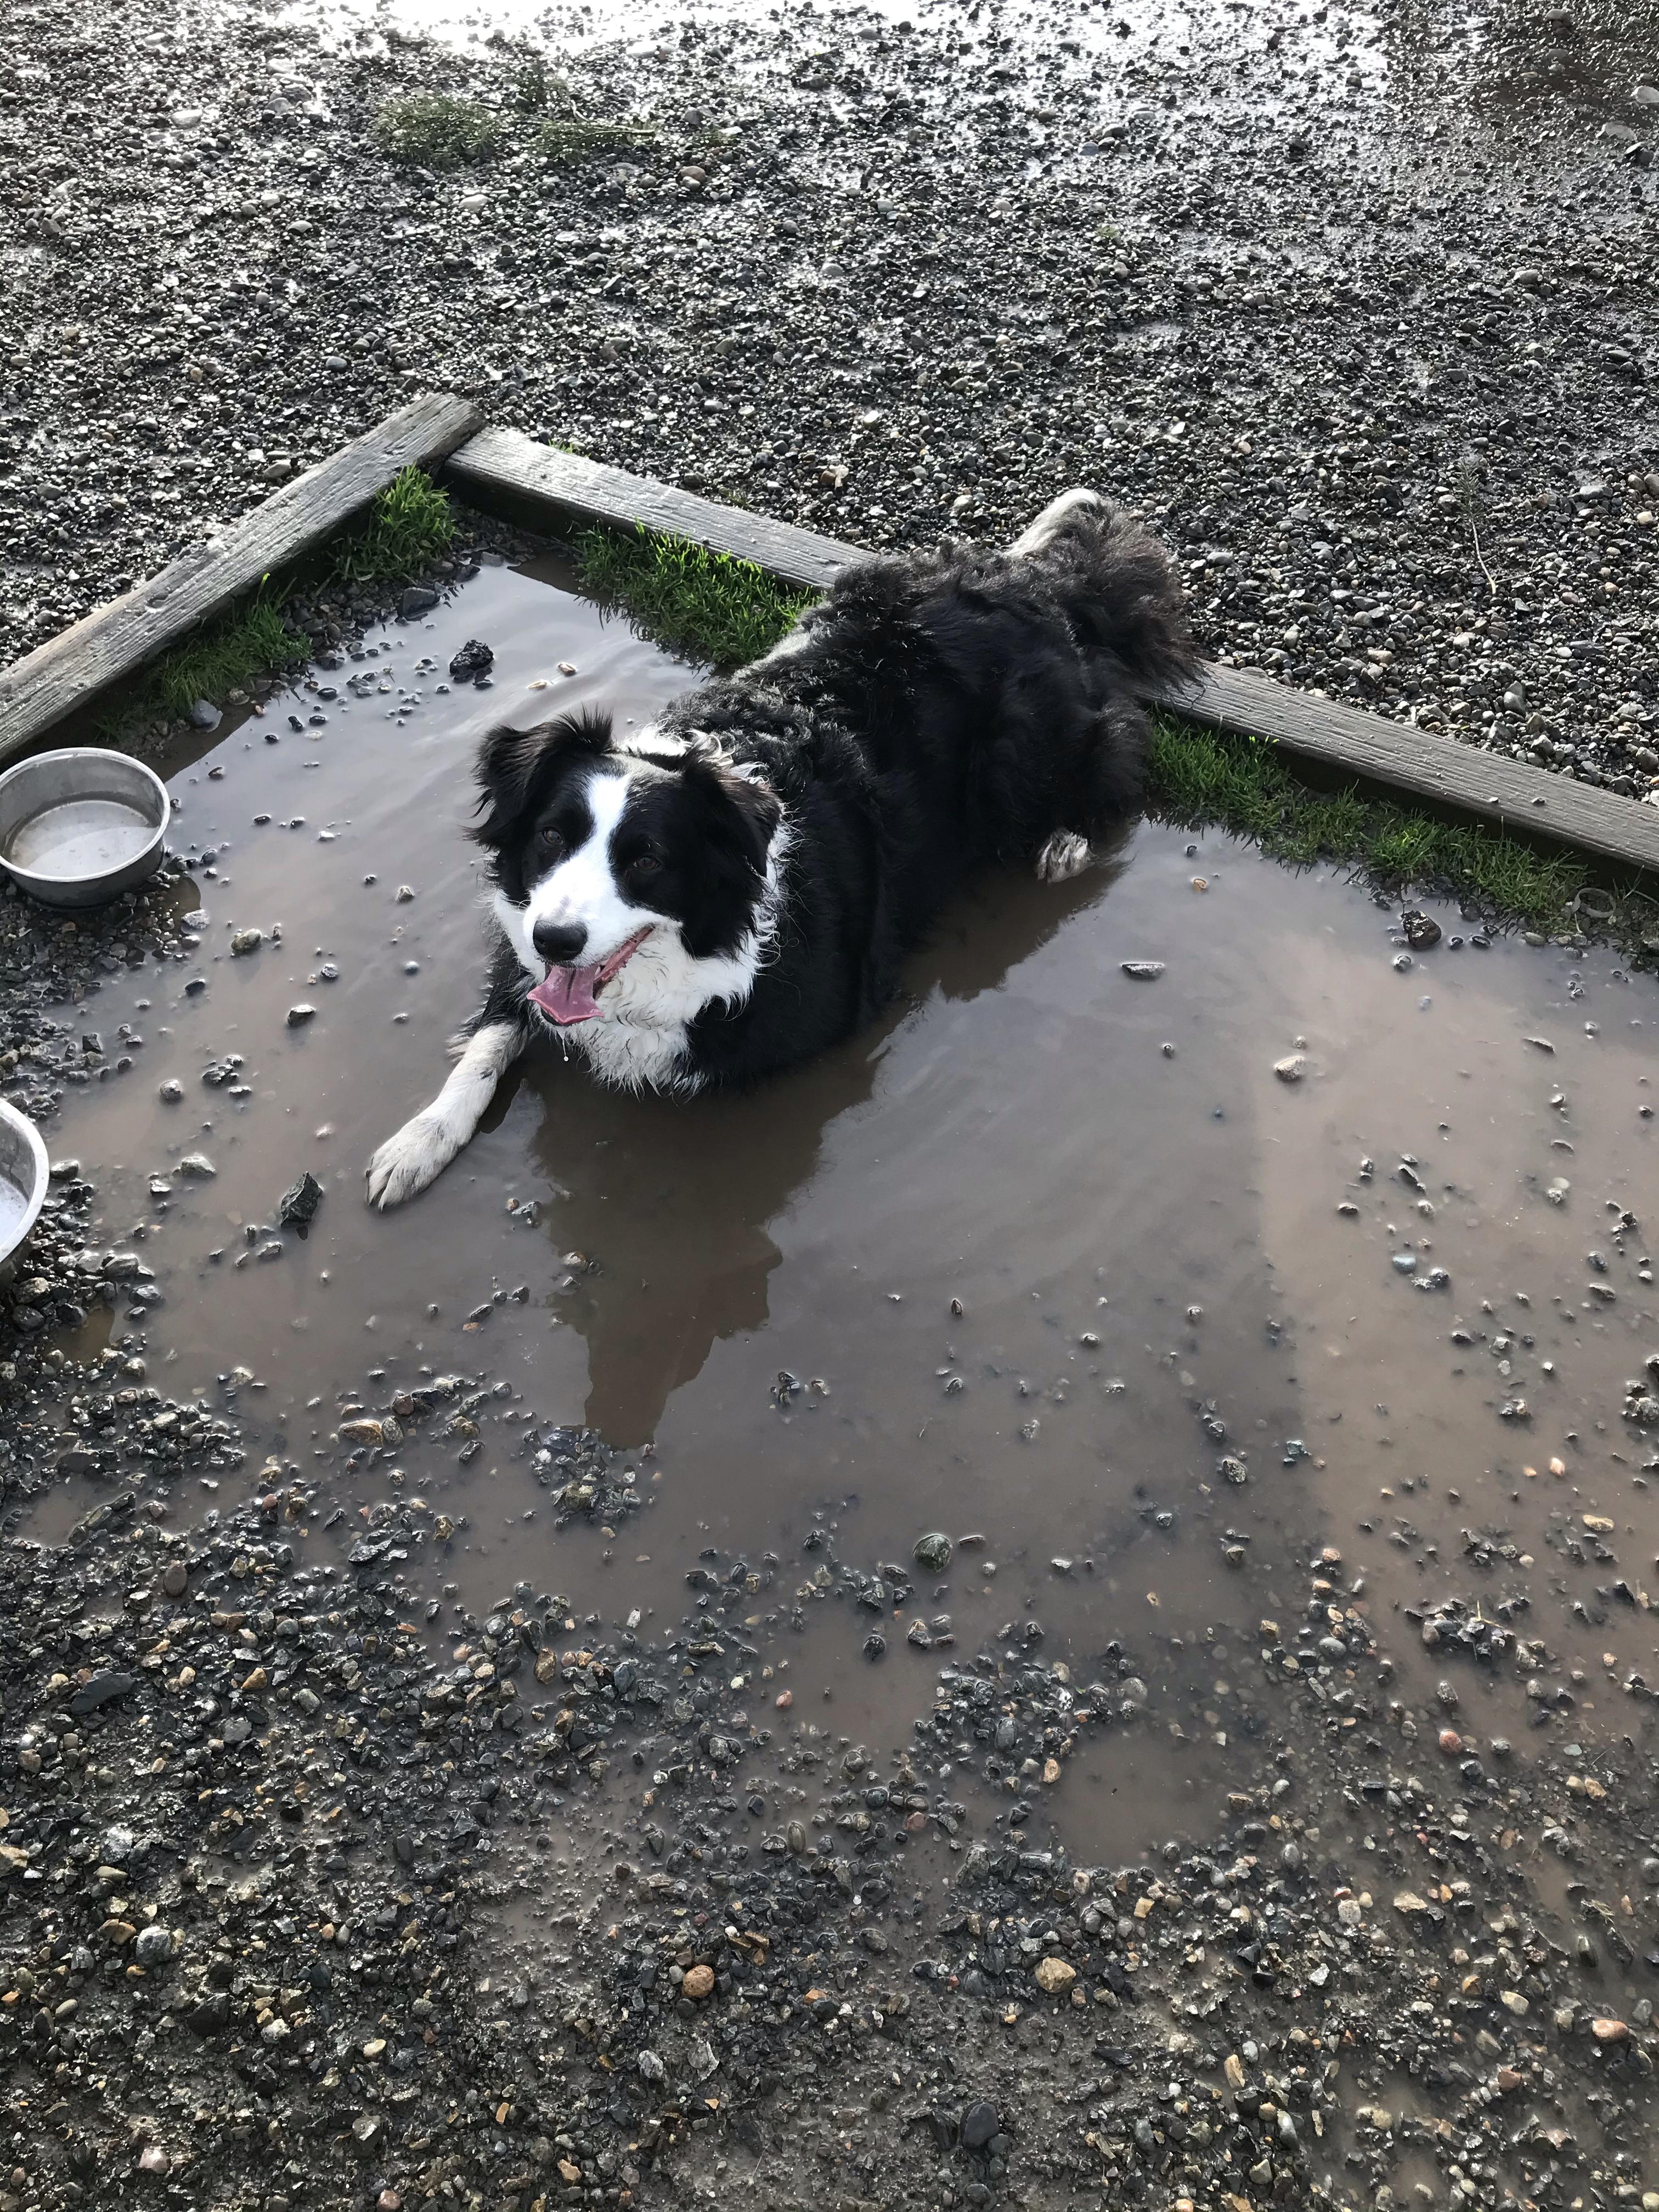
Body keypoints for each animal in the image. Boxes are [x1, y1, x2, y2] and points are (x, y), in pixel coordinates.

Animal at [365, 489, 1196, 1208]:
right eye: (549, 837)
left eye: (646, 861)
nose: (558, 940)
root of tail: (1035, 577)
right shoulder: (524, 953)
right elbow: (489, 1037)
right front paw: (417, 1142)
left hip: (1016, 759)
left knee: (1117, 745)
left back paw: (1068, 839)